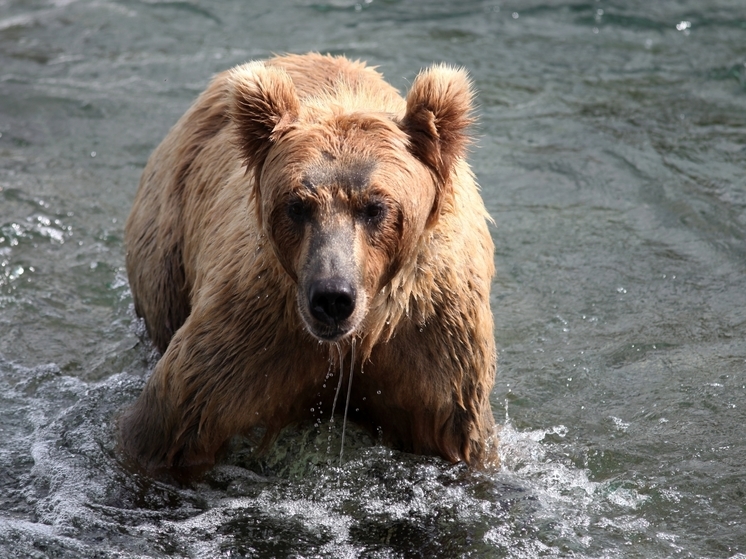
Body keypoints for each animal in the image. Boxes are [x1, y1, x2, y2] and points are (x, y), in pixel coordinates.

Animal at [119, 52, 496, 482]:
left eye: (375, 207)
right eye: (297, 205)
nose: (332, 298)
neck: (354, 340)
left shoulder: (432, 343)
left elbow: (455, 438)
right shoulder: (253, 331)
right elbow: (169, 425)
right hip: (166, 241)